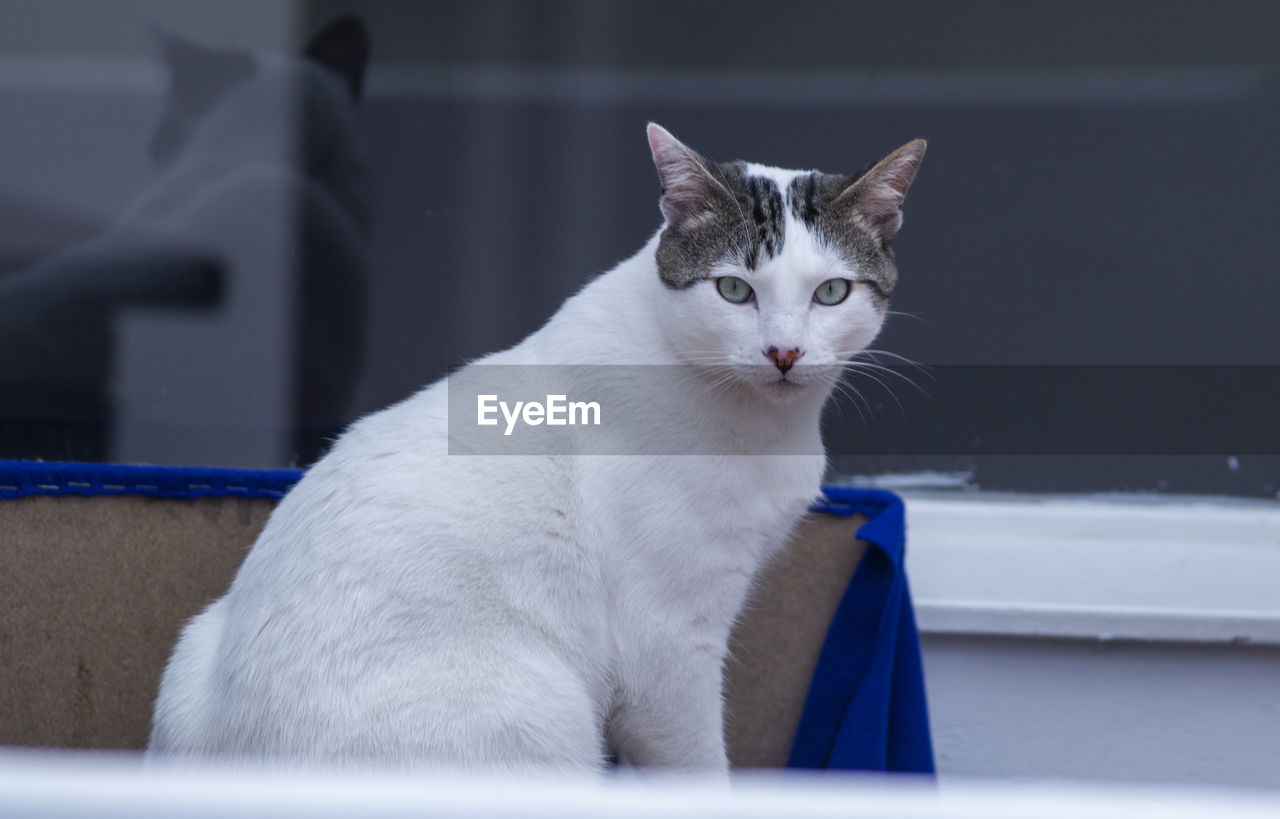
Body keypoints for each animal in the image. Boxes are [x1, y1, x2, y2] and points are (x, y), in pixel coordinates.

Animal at [149, 126, 926, 772]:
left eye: (831, 292)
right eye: (735, 288)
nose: (785, 352)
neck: (770, 426)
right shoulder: (668, 646)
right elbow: (700, 768)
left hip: (192, 647)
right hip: (543, 707)